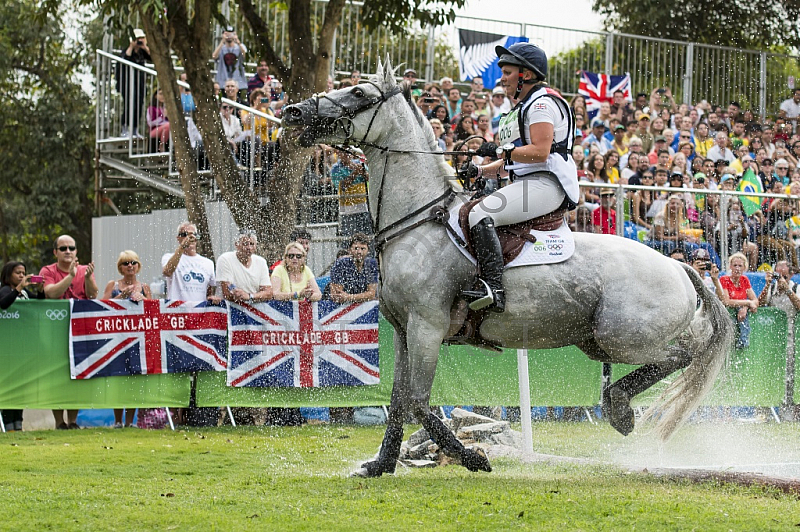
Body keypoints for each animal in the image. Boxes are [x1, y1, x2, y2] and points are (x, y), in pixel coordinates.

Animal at [282, 58, 732, 478]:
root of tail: (678, 267)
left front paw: (472, 457)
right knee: (682, 352)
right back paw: (617, 406)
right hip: (600, 341)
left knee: (683, 353)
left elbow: (418, 403)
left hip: (624, 338)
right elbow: (397, 402)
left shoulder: (426, 326)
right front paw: (380, 464)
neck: (417, 221)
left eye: (358, 92)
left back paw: (619, 407)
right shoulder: (404, 331)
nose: (293, 112)